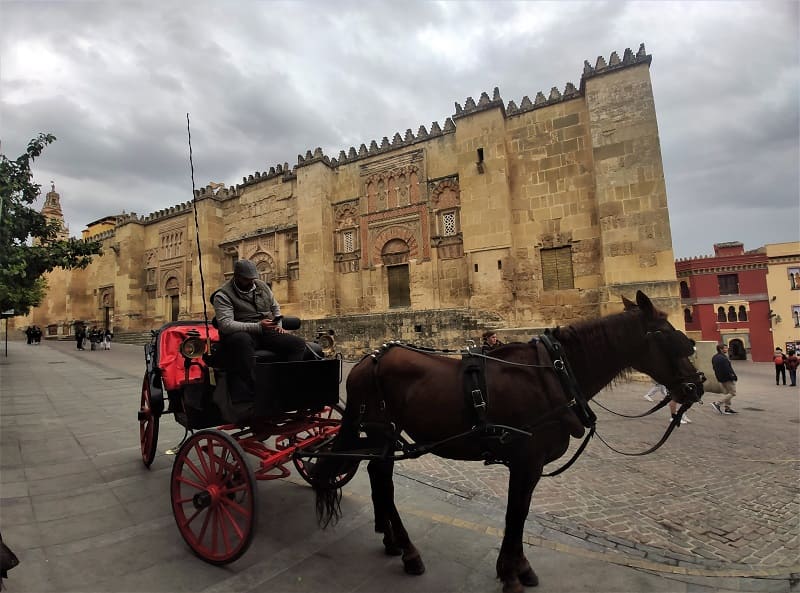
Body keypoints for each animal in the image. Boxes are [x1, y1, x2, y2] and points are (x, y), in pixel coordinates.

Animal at [310, 292, 704, 592]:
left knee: (378, 476)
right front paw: (511, 574)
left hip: (383, 436)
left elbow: (520, 514)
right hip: (381, 430)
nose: (696, 386)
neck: (555, 374)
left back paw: (392, 541)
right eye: (670, 336)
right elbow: (516, 514)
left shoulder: (530, 464)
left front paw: (519, 568)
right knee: (383, 480)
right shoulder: (526, 460)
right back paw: (409, 551)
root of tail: (367, 360)